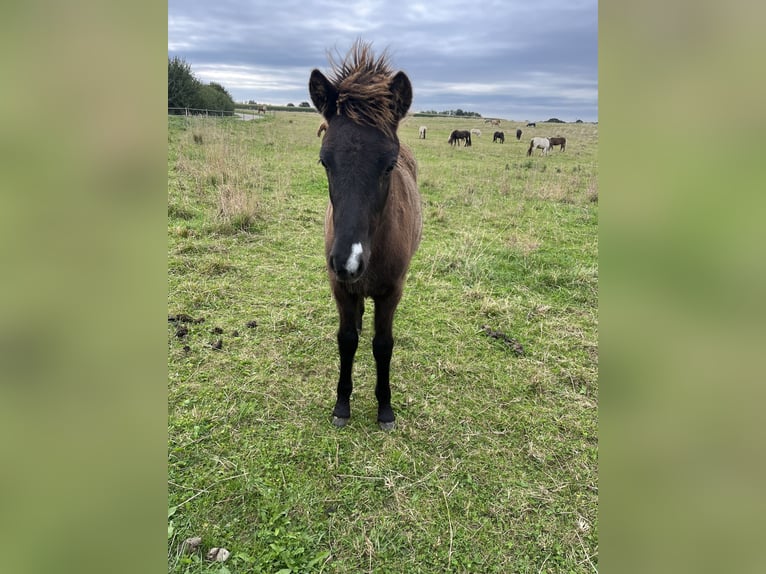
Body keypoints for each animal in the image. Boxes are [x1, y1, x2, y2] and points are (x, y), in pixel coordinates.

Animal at [308, 40, 422, 431]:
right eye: (325, 161)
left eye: (388, 165)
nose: (349, 261)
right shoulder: (339, 286)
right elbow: (347, 339)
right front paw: (342, 404)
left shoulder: (392, 292)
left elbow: (383, 344)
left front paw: (385, 408)